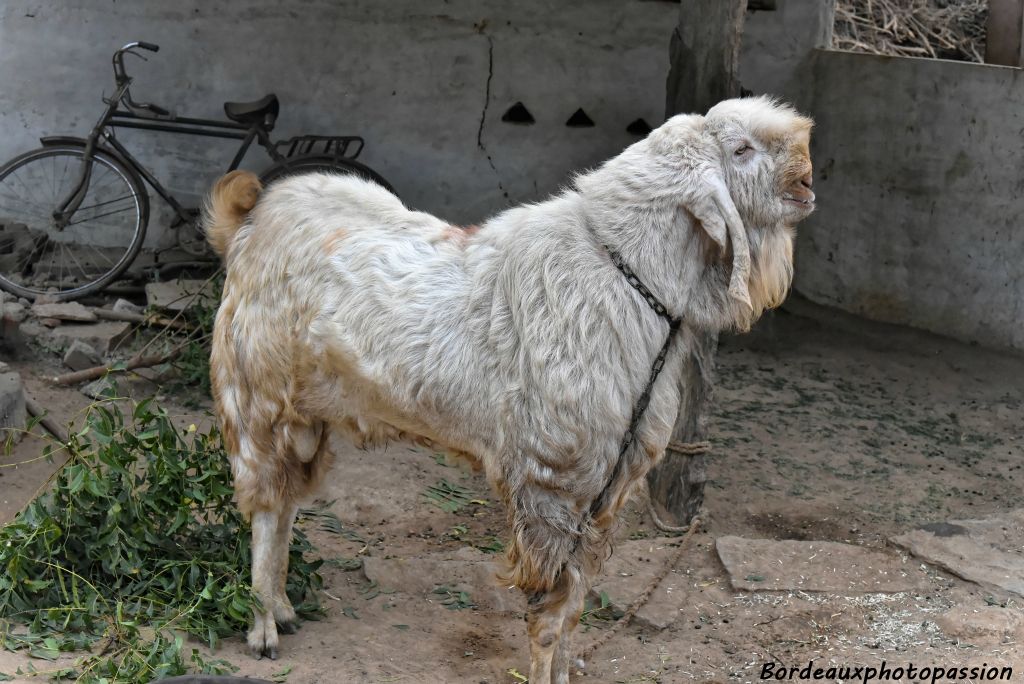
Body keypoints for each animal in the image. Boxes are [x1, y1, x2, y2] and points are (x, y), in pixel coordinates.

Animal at [205, 96, 815, 684]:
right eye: (740, 150)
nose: (808, 179)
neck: (626, 278)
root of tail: (250, 220)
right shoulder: (552, 482)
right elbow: (549, 609)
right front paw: (544, 671)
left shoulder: (606, 490)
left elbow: (575, 602)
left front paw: (565, 669)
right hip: (256, 393)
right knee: (265, 510)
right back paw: (262, 625)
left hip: (307, 411)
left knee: (286, 502)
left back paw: (283, 607)